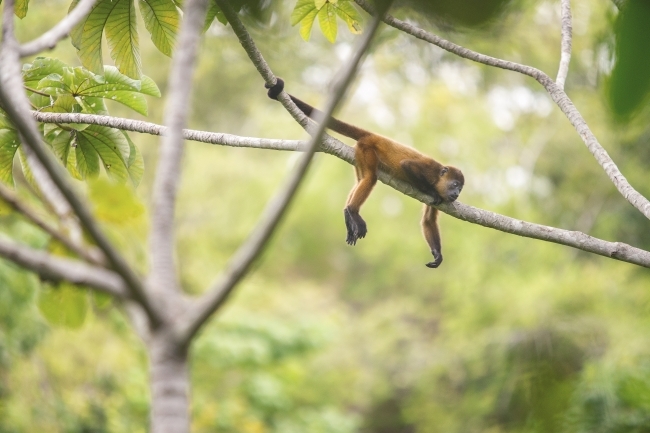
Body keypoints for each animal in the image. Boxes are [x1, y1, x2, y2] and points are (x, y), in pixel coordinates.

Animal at [266, 77, 464, 266]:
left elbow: (428, 221)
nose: (456, 194)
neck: (438, 177)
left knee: (361, 180)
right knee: (370, 178)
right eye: (455, 184)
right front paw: (430, 191)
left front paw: (437, 254)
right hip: (367, 150)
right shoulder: (430, 169)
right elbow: (407, 165)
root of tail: (371, 135)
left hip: (359, 155)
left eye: (460, 189)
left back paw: (347, 215)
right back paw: (352, 211)